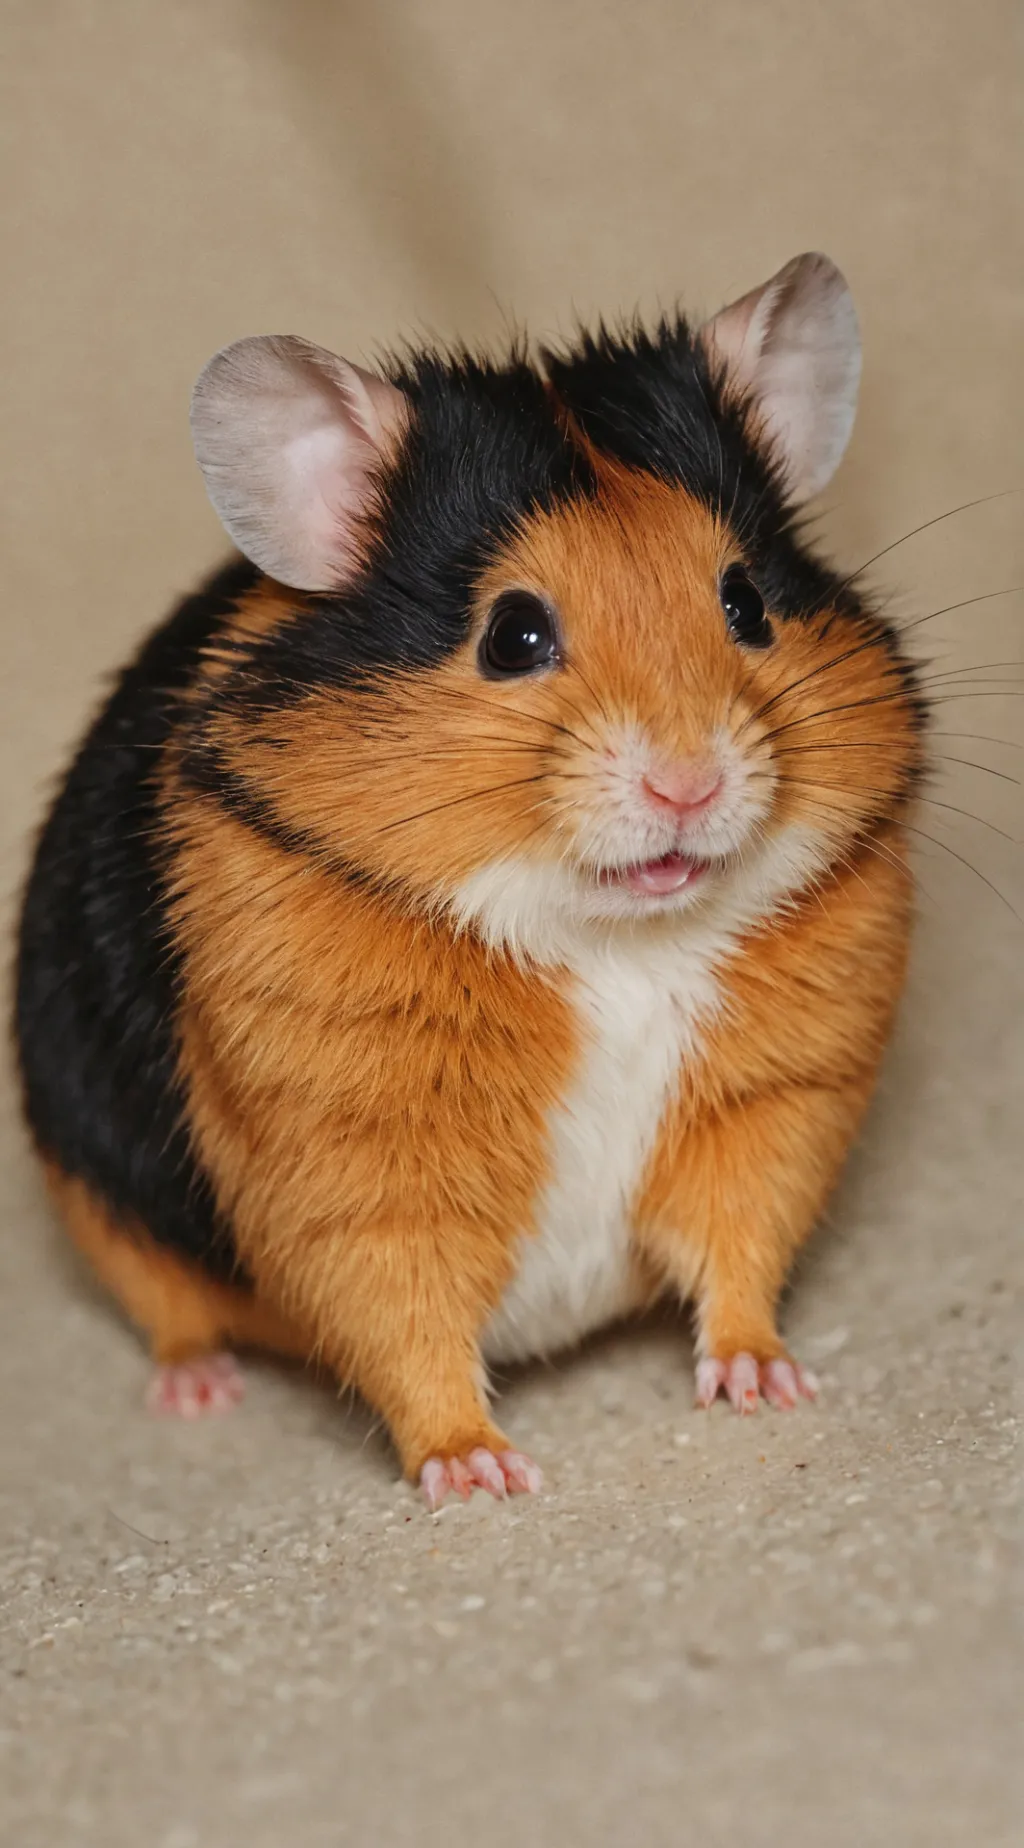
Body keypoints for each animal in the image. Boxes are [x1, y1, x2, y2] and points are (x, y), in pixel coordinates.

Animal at [14, 253, 924, 1508]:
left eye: (745, 602)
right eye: (513, 635)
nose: (689, 784)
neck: (612, 939)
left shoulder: (777, 1103)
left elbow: (740, 1256)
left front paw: (767, 1385)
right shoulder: (349, 1166)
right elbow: (406, 1326)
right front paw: (481, 1475)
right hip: (90, 1189)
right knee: (171, 1312)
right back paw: (197, 1393)